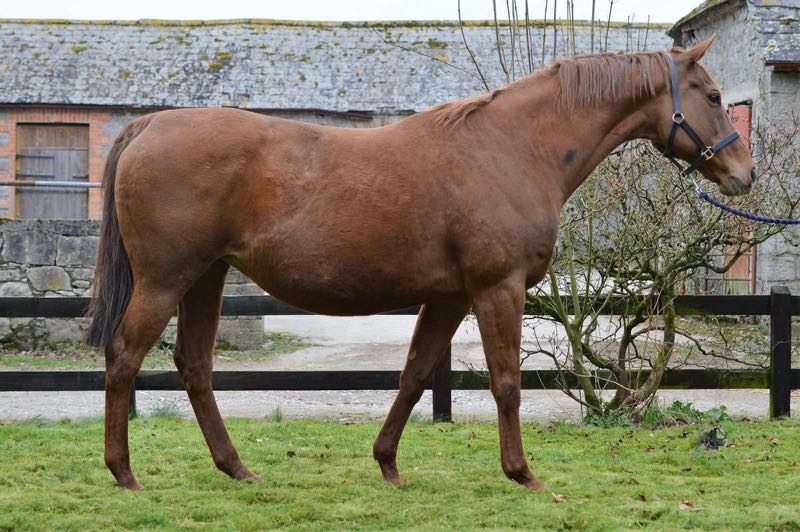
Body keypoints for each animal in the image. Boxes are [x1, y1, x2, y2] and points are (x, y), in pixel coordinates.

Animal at [87, 38, 754, 490]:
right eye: (714, 96)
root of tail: (150, 125)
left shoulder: (450, 297)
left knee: (194, 366)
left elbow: (413, 376)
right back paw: (123, 473)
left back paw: (236, 468)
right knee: (125, 357)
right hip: (166, 280)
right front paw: (522, 474)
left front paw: (387, 464)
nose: (744, 173)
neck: (515, 147)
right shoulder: (497, 289)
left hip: (207, 276)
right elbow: (505, 383)